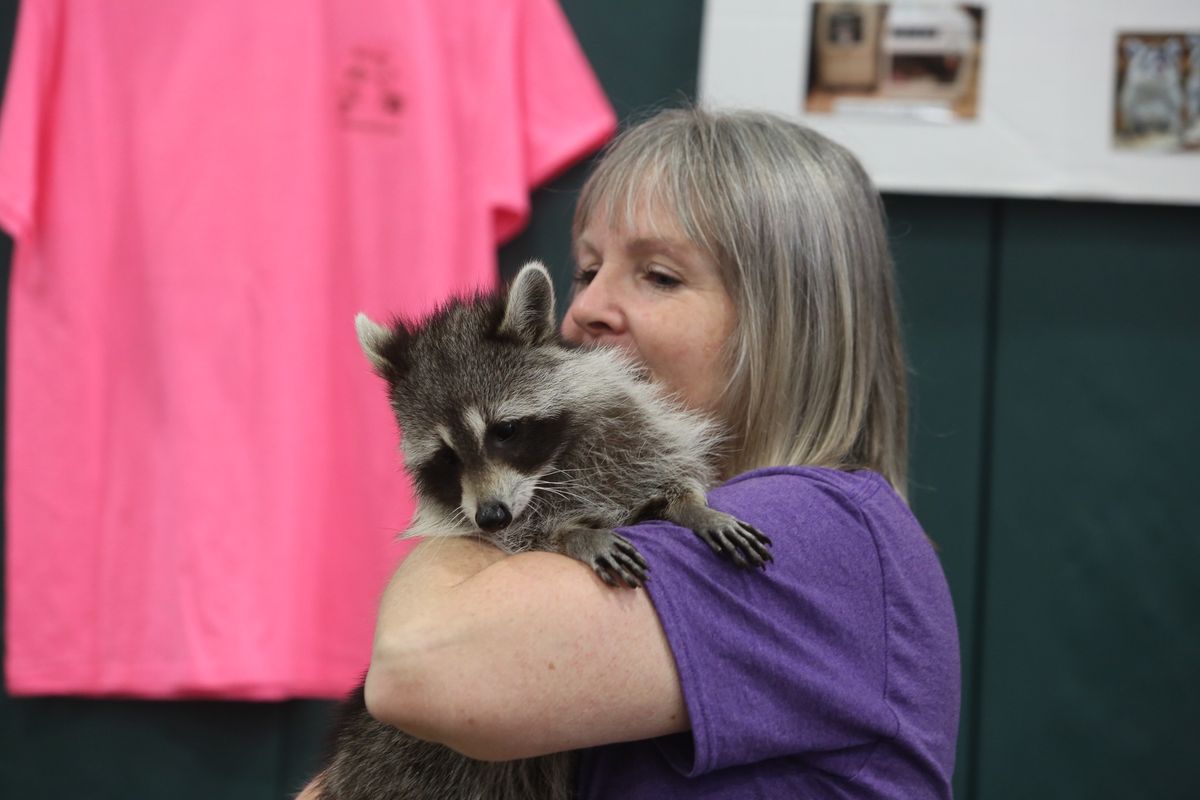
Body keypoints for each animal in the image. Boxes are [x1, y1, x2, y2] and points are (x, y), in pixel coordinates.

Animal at [309, 262, 772, 800]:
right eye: (446, 457)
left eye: (504, 431)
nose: (490, 516)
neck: (552, 467)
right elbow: (532, 535)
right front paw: (572, 534)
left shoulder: (632, 433)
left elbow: (669, 473)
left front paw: (693, 507)